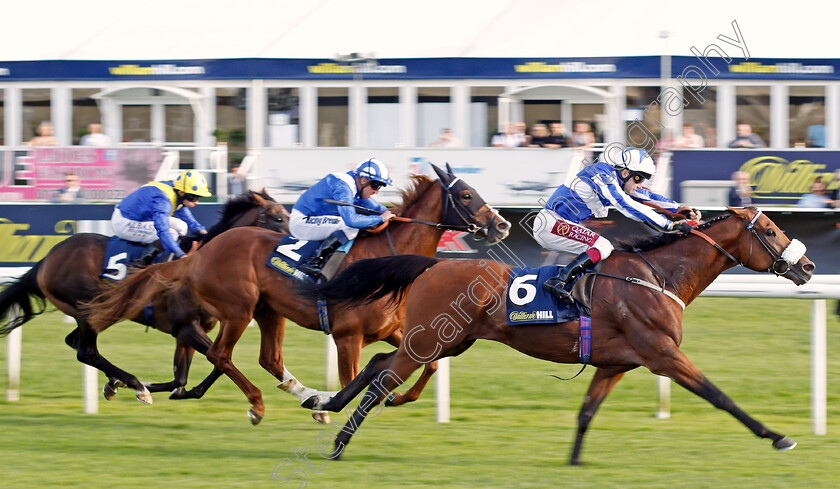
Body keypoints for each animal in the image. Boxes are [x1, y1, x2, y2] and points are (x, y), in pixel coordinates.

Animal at [0, 189, 290, 402]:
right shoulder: (186, 327)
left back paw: (117, 381)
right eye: (278, 218)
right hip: (86, 309)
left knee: (75, 342)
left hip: (95, 313)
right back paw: (133, 383)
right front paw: (146, 387)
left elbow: (186, 376)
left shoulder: (186, 331)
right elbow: (211, 363)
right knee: (86, 352)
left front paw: (179, 391)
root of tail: (46, 260)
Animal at [88, 164, 512, 424]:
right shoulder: (347, 336)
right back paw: (259, 404)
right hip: (238, 309)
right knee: (220, 355)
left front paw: (396, 397)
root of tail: (200, 252)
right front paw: (340, 404)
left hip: (268, 311)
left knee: (269, 359)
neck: (384, 258)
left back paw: (306, 396)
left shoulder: (394, 330)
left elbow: (432, 364)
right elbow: (351, 377)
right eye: (467, 195)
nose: (503, 225)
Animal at [300, 207, 812, 466]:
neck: (656, 276)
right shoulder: (662, 353)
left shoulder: (615, 363)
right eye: (770, 231)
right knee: (383, 381)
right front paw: (777, 436)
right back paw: (338, 444)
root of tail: (432, 264)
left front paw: (573, 463)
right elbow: (719, 395)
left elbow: (586, 413)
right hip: (431, 340)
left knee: (376, 365)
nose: (807, 266)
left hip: (445, 340)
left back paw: (325, 402)